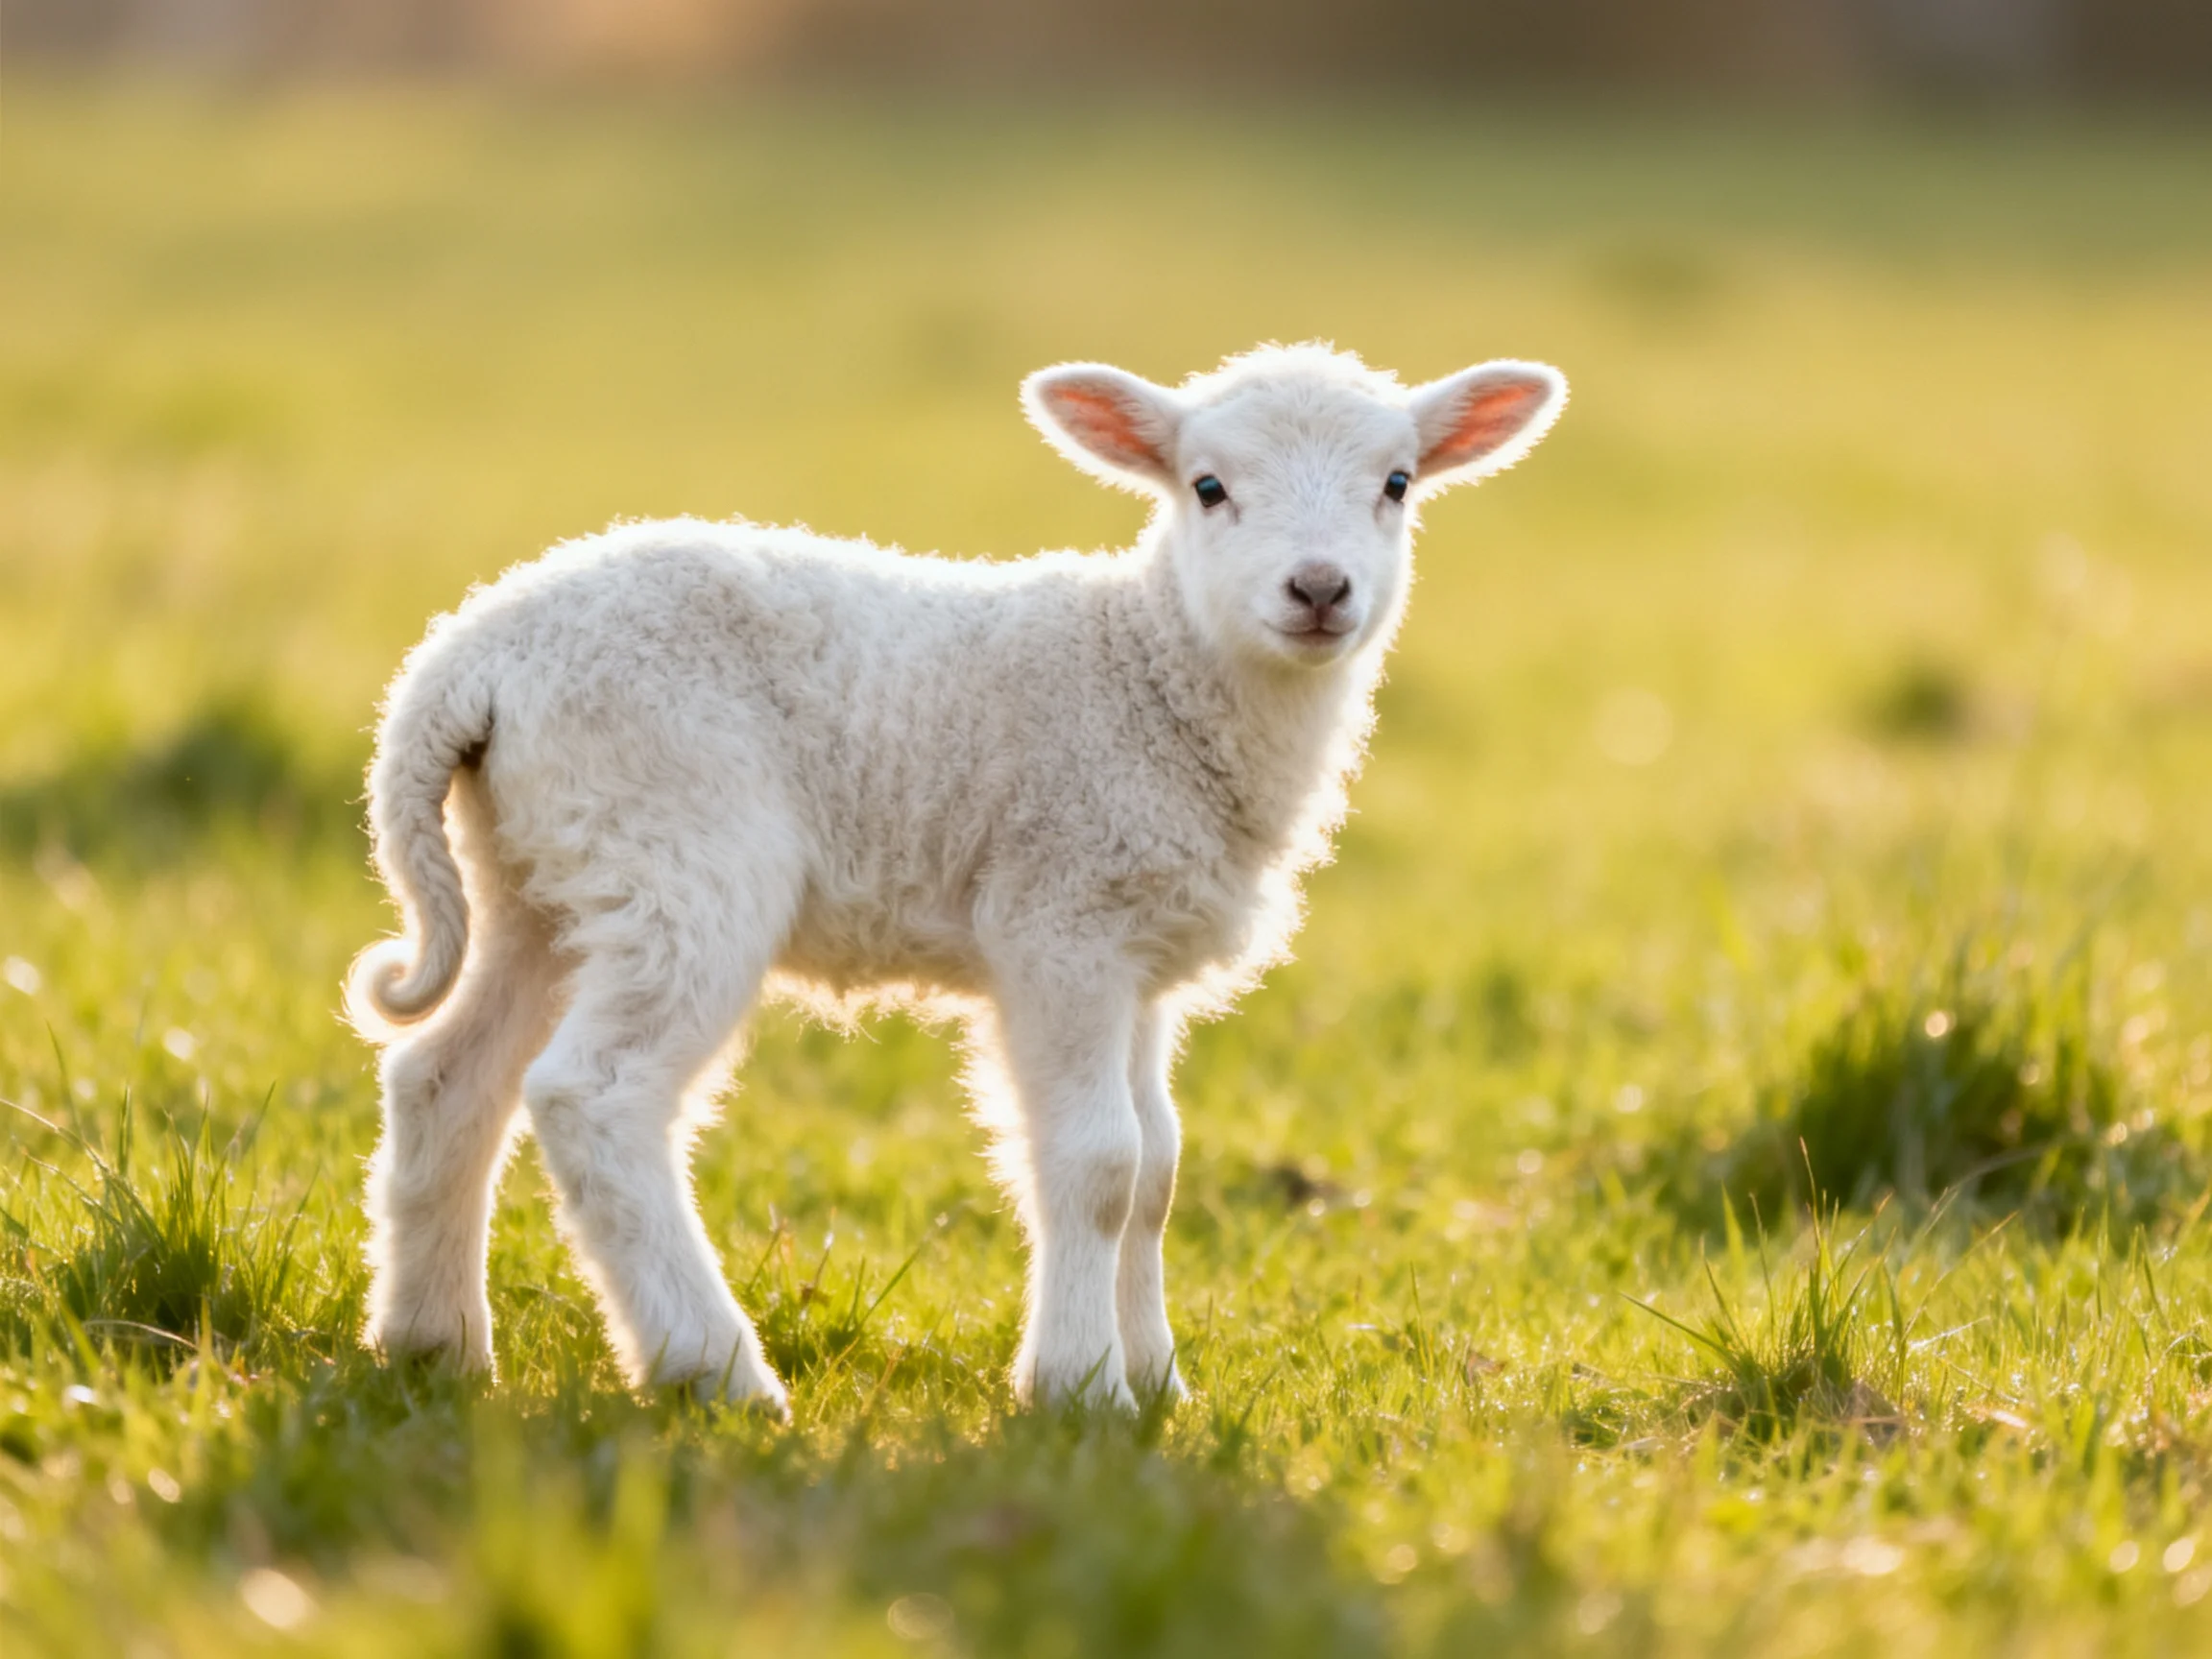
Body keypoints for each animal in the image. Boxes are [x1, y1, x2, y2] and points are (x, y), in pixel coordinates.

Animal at [347, 343, 1568, 1413]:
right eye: (1209, 486)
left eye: (1397, 484)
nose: (1319, 589)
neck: (1151, 669)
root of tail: (469, 658)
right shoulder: (1059, 920)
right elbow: (1098, 1164)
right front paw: (1081, 1389)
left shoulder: (1139, 955)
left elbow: (1159, 1172)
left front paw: (1160, 1383)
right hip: (677, 854)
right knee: (591, 1096)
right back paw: (718, 1372)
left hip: (543, 872)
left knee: (445, 1076)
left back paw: (432, 1348)